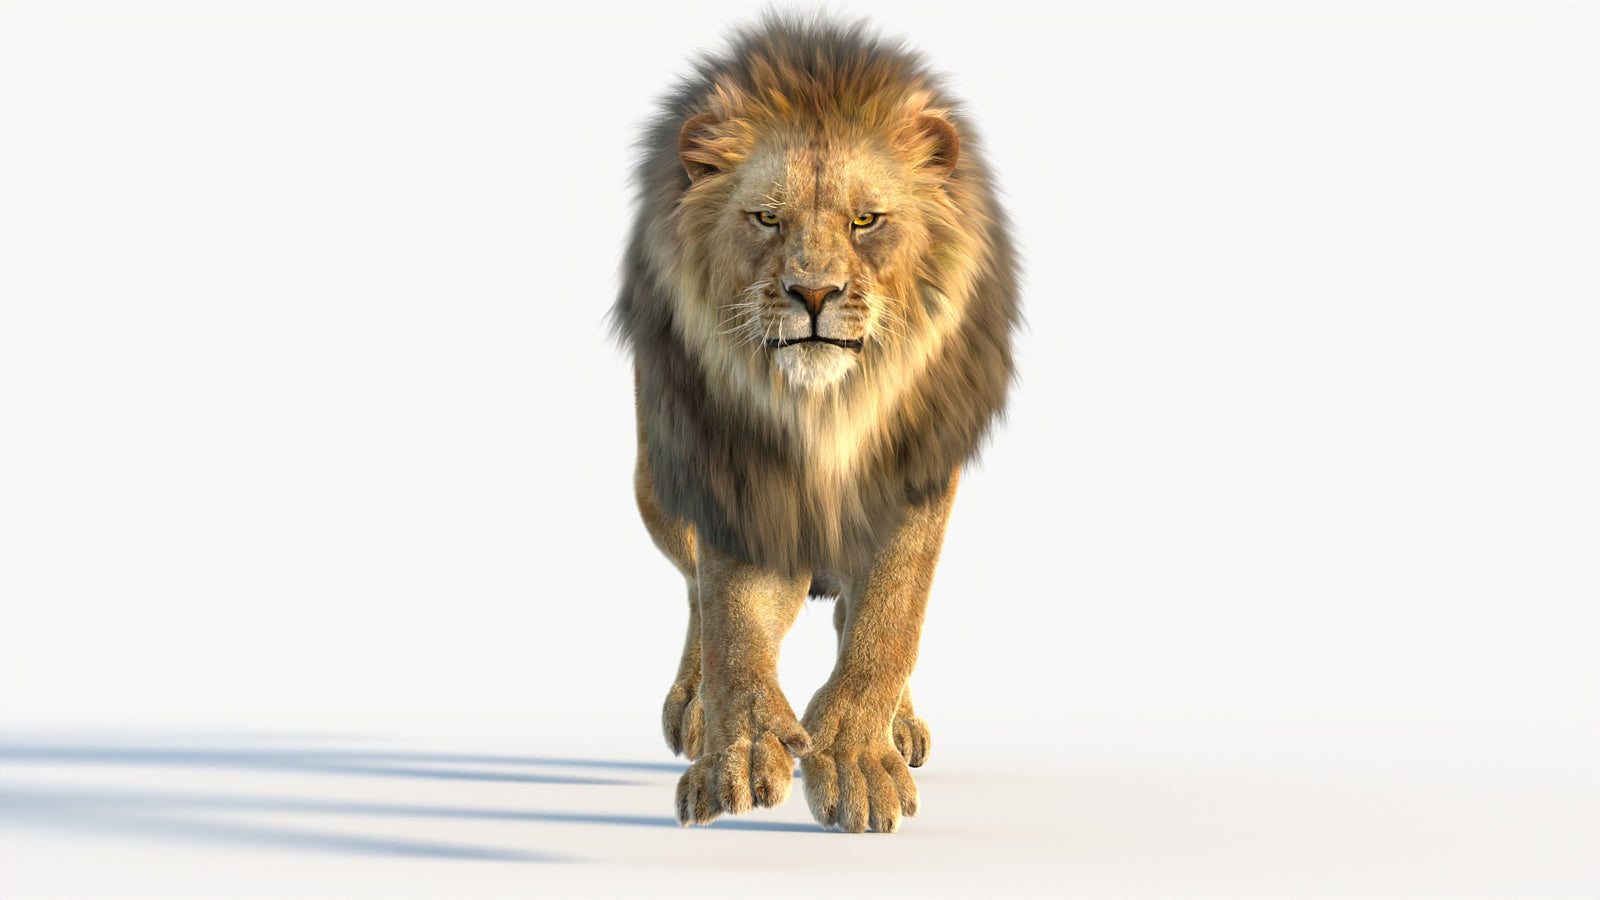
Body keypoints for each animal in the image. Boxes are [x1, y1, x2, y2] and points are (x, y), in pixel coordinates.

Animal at [611, 16, 1019, 833]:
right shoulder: (729, 466)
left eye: (865, 221)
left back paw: (899, 724)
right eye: (767, 218)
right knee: (698, 590)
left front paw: (857, 757)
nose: (813, 293)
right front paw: (740, 748)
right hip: (655, 485)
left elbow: (891, 617)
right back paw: (695, 706)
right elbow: (734, 619)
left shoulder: (919, 474)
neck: (826, 410)